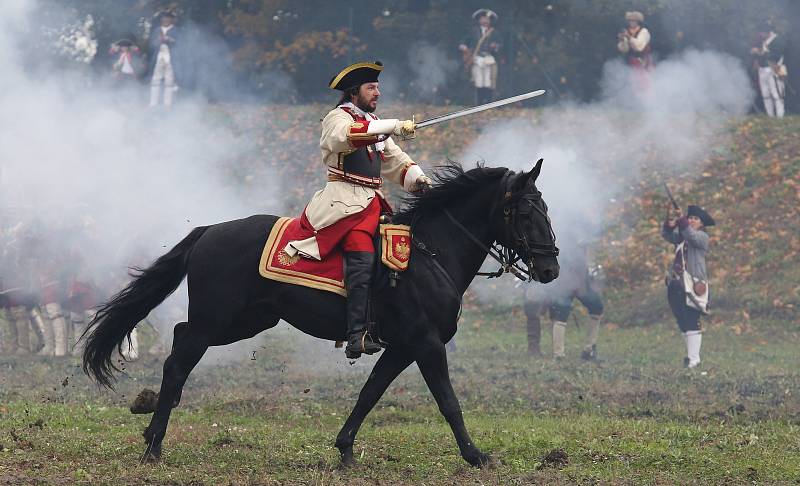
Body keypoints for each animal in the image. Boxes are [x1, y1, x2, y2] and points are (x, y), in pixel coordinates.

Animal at [81, 162, 556, 468]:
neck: (430, 253)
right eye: (525, 211)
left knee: (179, 339)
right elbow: (448, 401)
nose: (550, 268)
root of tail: (209, 232)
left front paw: (345, 449)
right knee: (178, 361)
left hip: (246, 322)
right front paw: (475, 455)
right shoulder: (426, 343)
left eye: (545, 207)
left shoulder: (402, 346)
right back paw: (153, 446)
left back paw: (151, 428)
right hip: (216, 322)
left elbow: (370, 393)